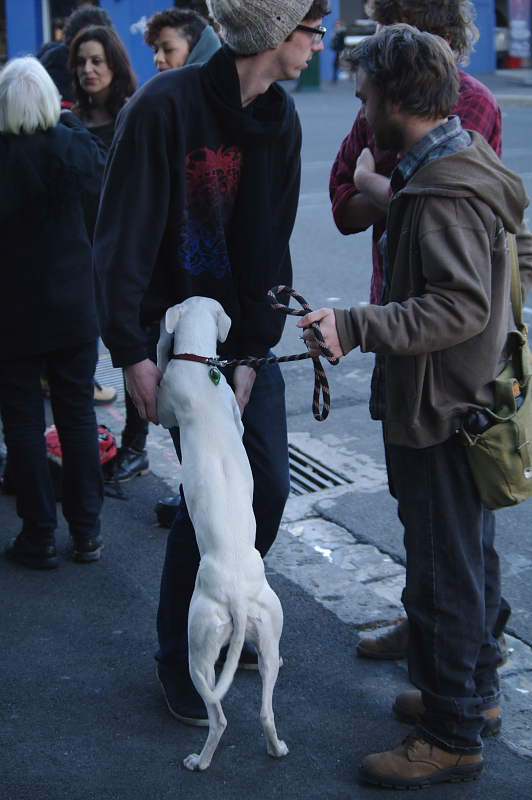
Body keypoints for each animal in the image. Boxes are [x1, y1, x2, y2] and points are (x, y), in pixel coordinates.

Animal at [156, 296, 288, 772]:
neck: (200, 364)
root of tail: (234, 595)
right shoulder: (234, 407)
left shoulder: (166, 401)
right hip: (268, 631)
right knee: (267, 708)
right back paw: (276, 747)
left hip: (200, 647)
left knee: (219, 717)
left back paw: (200, 760)